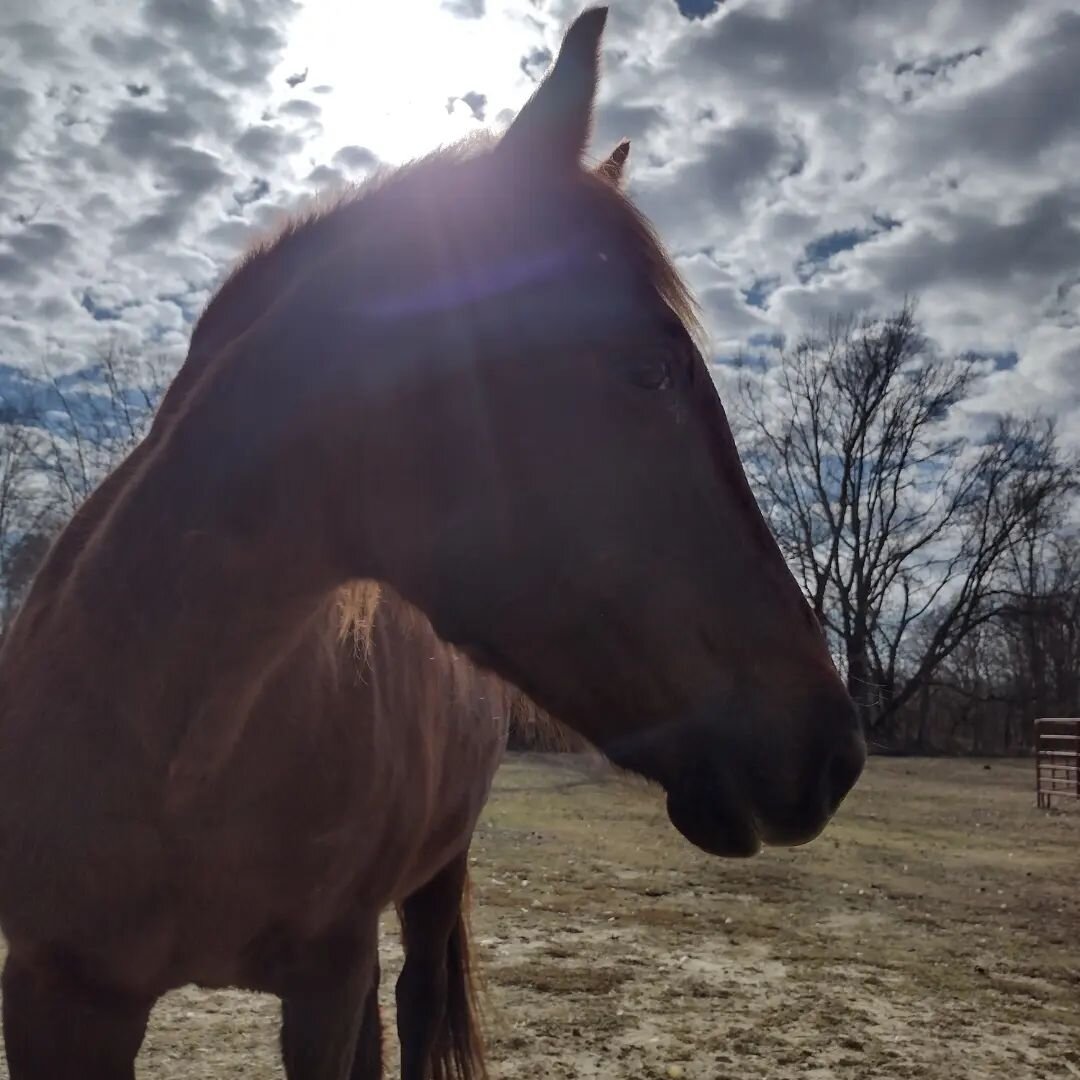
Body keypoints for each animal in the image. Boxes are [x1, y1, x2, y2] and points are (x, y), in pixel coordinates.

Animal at [0, 8, 864, 1080]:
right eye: (650, 370)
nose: (837, 750)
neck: (175, 749)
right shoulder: (56, 996)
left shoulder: (322, 982)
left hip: (433, 880)